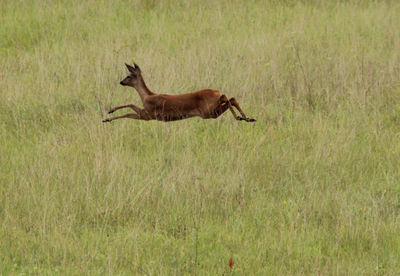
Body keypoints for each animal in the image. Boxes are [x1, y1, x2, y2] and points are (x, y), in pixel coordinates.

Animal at [101, 63, 255, 123]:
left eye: (128, 76)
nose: (121, 82)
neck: (147, 96)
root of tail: (216, 91)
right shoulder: (146, 113)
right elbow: (131, 105)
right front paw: (109, 113)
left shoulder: (148, 114)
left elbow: (129, 110)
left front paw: (107, 117)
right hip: (212, 112)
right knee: (231, 98)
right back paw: (247, 118)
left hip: (208, 111)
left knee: (228, 98)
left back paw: (241, 117)